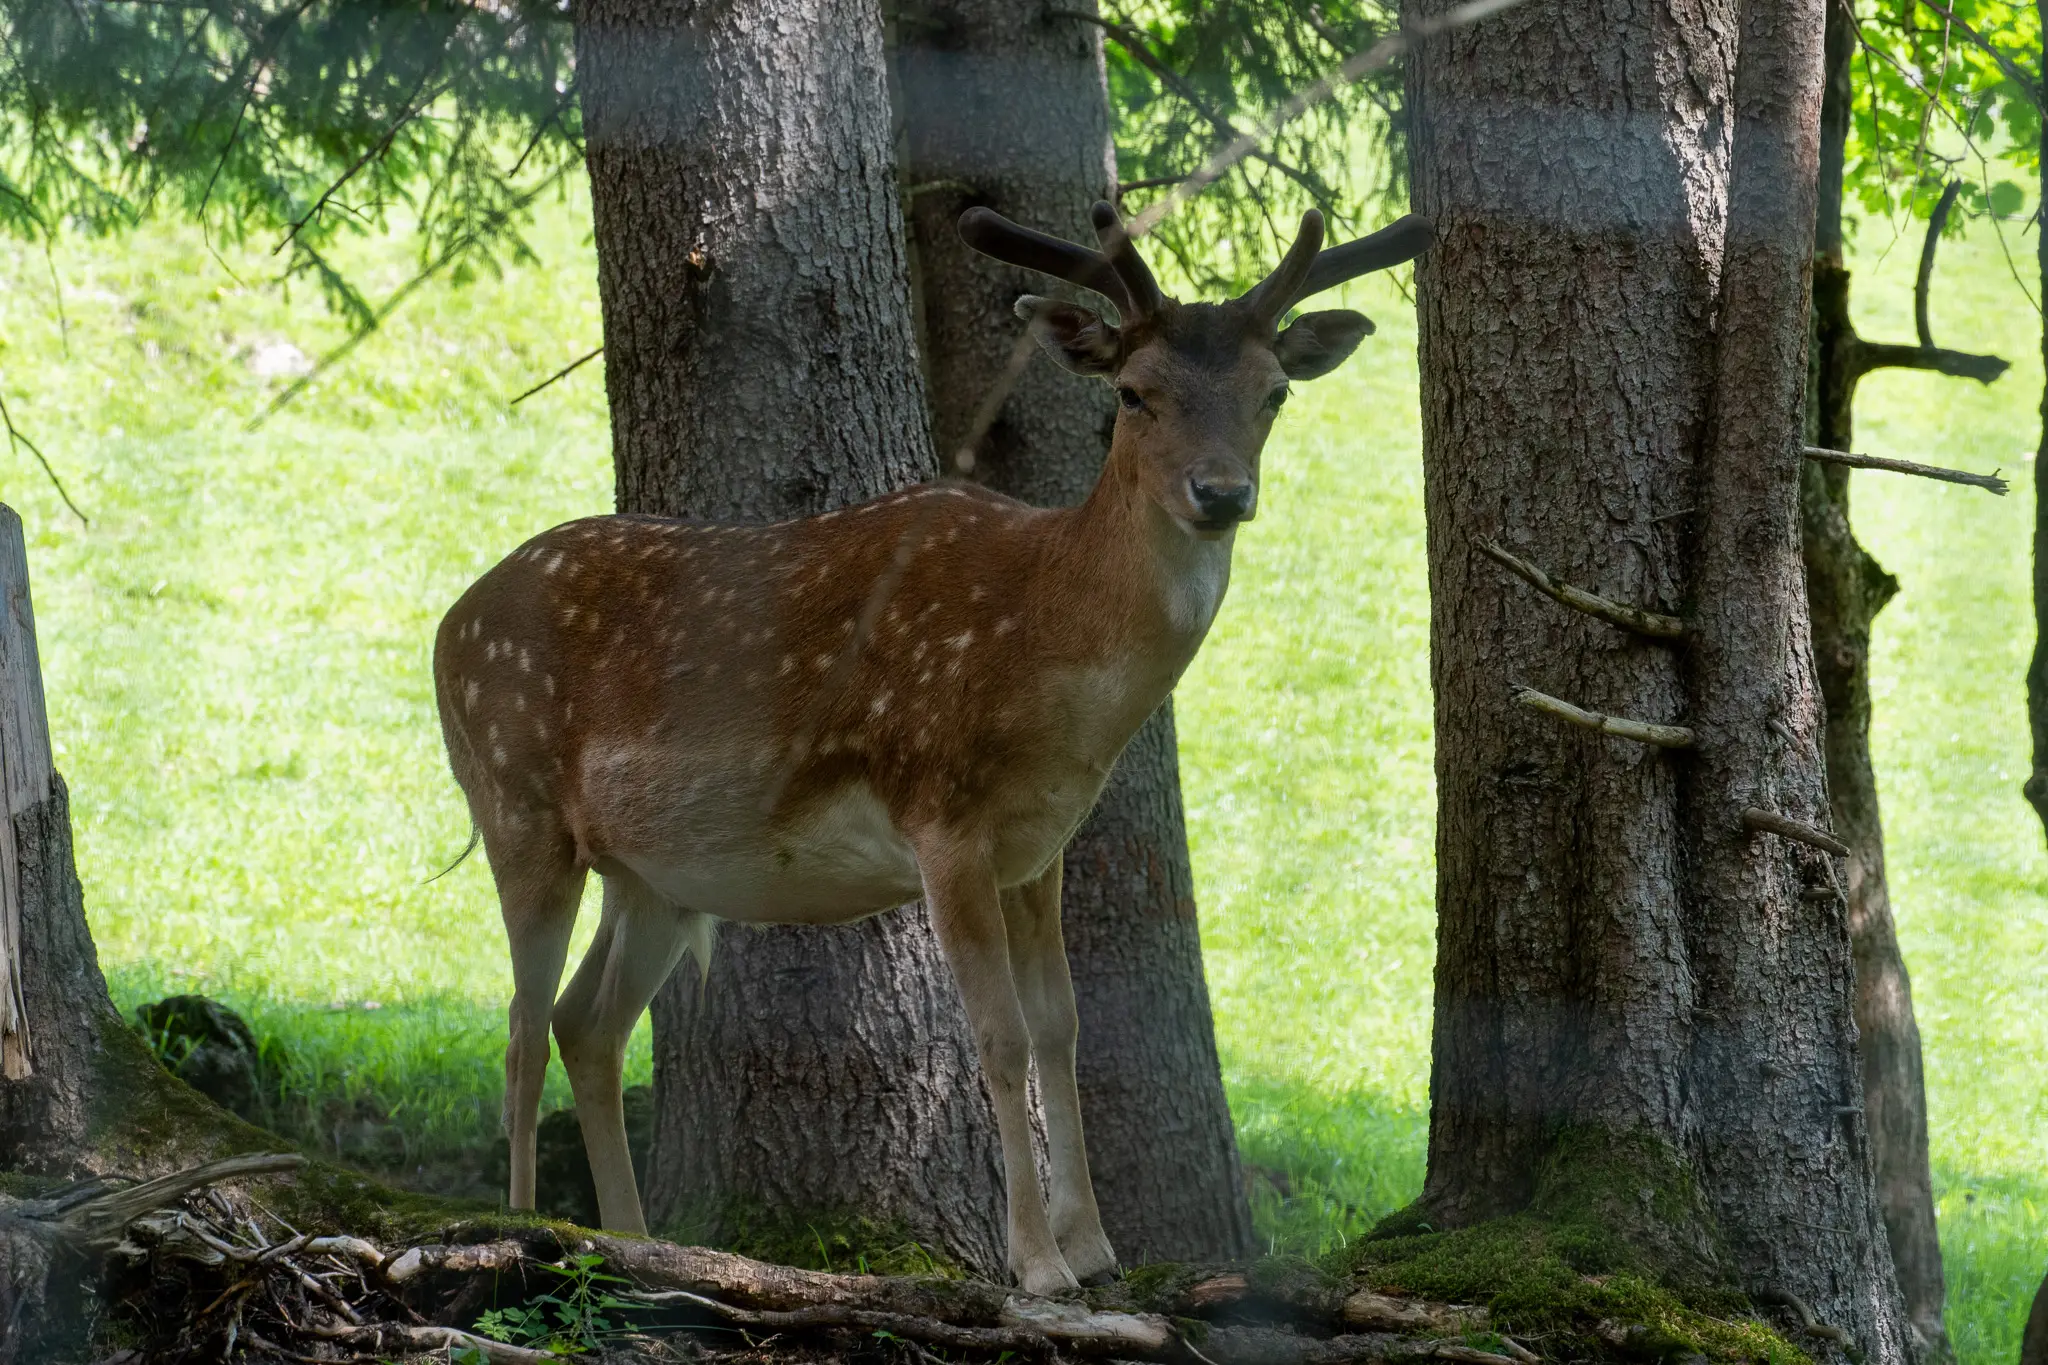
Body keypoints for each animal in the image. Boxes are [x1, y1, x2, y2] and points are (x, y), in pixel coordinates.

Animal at [432, 201, 1432, 1295]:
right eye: (1133, 393)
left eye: (1274, 392)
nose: (1219, 492)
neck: (1049, 657)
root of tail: (446, 621)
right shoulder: (941, 814)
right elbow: (997, 1038)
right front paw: (1035, 1265)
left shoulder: (1039, 848)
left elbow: (1060, 1030)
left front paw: (1096, 1250)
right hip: (515, 797)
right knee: (522, 1027)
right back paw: (521, 1223)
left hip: (654, 877)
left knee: (587, 1022)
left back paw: (632, 1241)